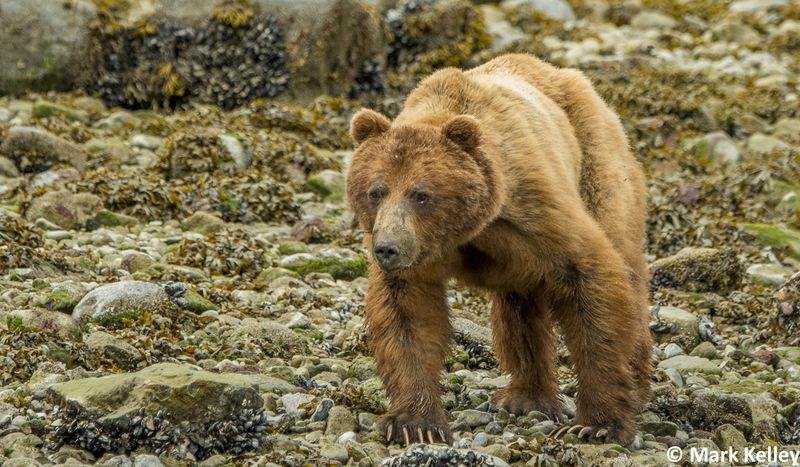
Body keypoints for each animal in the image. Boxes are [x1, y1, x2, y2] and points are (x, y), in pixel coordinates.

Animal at [346, 53, 652, 448]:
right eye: (375, 191)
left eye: (421, 194)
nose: (387, 249)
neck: (467, 229)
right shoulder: (420, 259)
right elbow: (406, 315)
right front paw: (414, 422)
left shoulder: (533, 210)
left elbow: (590, 280)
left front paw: (596, 424)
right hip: (521, 264)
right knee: (519, 312)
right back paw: (527, 397)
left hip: (596, 163)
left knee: (624, 260)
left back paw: (637, 383)